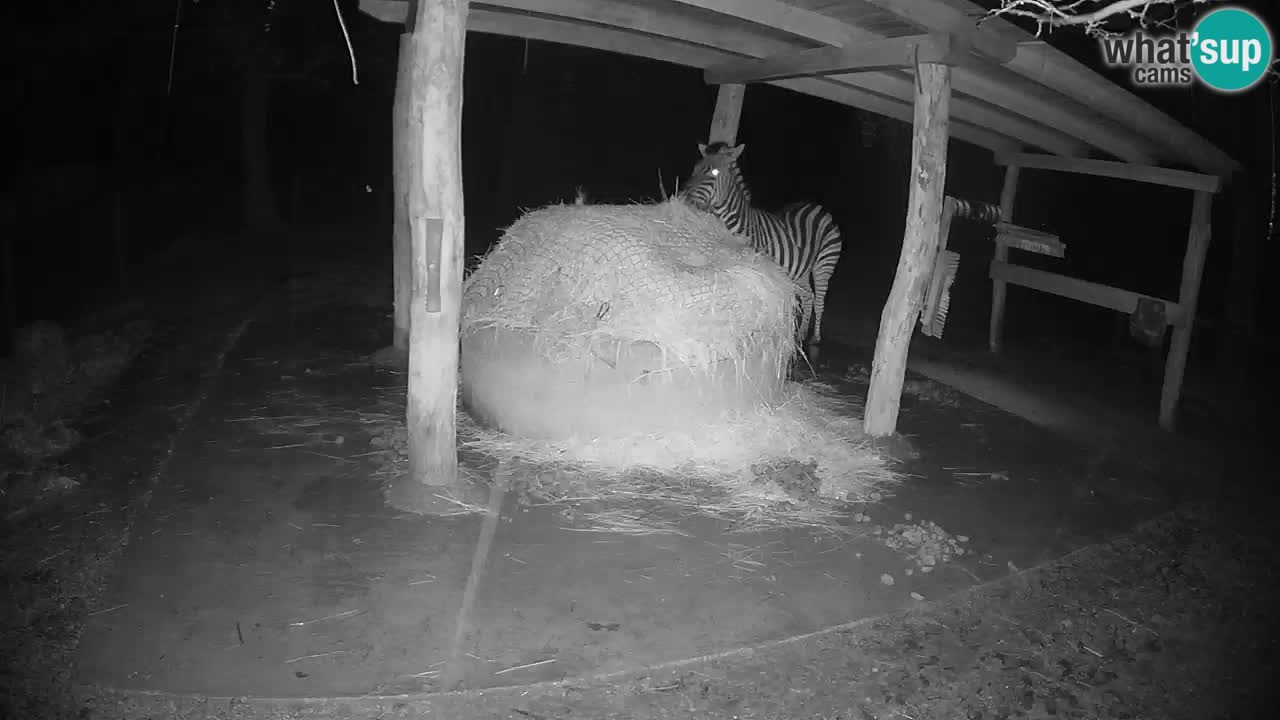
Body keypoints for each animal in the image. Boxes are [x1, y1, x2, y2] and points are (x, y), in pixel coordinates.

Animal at [678, 142, 844, 347]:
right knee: (808, 296)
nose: (682, 197)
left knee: (820, 299)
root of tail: (817, 206)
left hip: (824, 264)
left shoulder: (755, 268)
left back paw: (815, 337)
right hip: (802, 269)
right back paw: (801, 334)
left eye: (714, 172)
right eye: (694, 169)